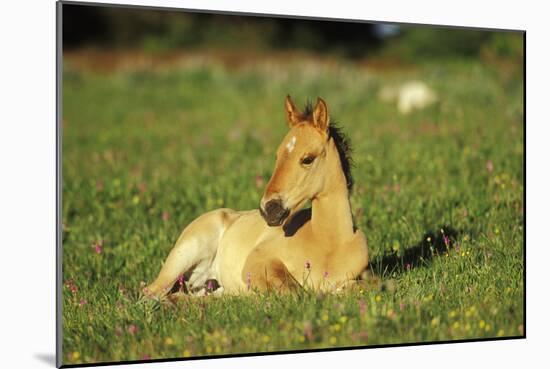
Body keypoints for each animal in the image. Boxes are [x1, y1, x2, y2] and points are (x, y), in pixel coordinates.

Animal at [144, 96, 370, 298]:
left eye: (307, 159)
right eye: (277, 155)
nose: (269, 209)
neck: (329, 244)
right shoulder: (257, 261)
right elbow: (294, 292)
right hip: (184, 256)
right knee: (152, 293)